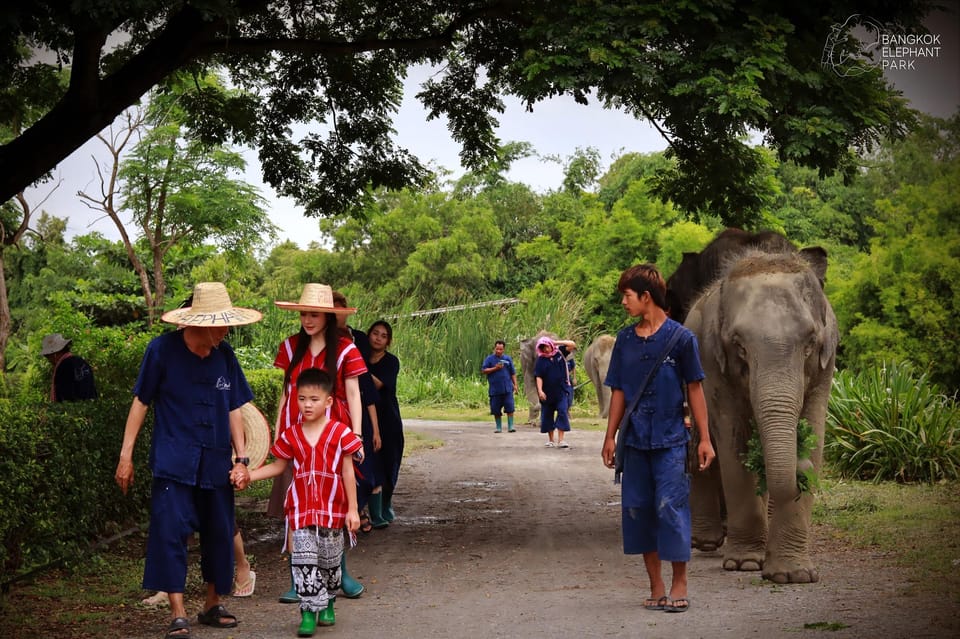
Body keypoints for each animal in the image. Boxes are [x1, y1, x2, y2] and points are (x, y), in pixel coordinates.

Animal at [688, 249, 836, 584]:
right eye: (739, 346)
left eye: (810, 343)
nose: (800, 466)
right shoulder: (712, 363)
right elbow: (735, 443)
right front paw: (744, 564)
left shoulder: (827, 366)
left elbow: (815, 433)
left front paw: (794, 575)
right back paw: (706, 542)